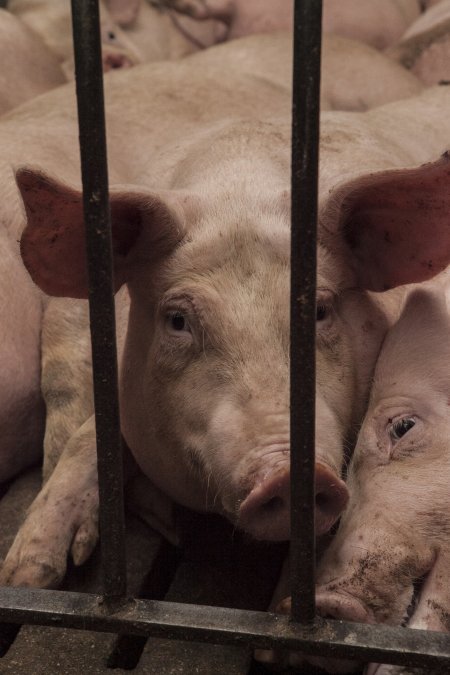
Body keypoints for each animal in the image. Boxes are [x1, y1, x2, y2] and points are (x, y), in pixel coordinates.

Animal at [0, 33, 450, 592]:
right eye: (177, 321)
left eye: (321, 310)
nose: (287, 472)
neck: (239, 189)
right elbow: (91, 436)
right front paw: (26, 576)